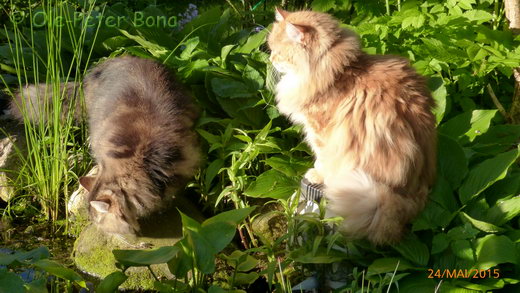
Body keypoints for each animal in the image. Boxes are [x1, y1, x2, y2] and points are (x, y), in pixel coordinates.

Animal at [270, 8, 436, 243]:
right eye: (271, 50)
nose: (270, 59)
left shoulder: (320, 131)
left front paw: (316, 173)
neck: (338, 71)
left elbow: (322, 159)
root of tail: (414, 194)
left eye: (278, 52)